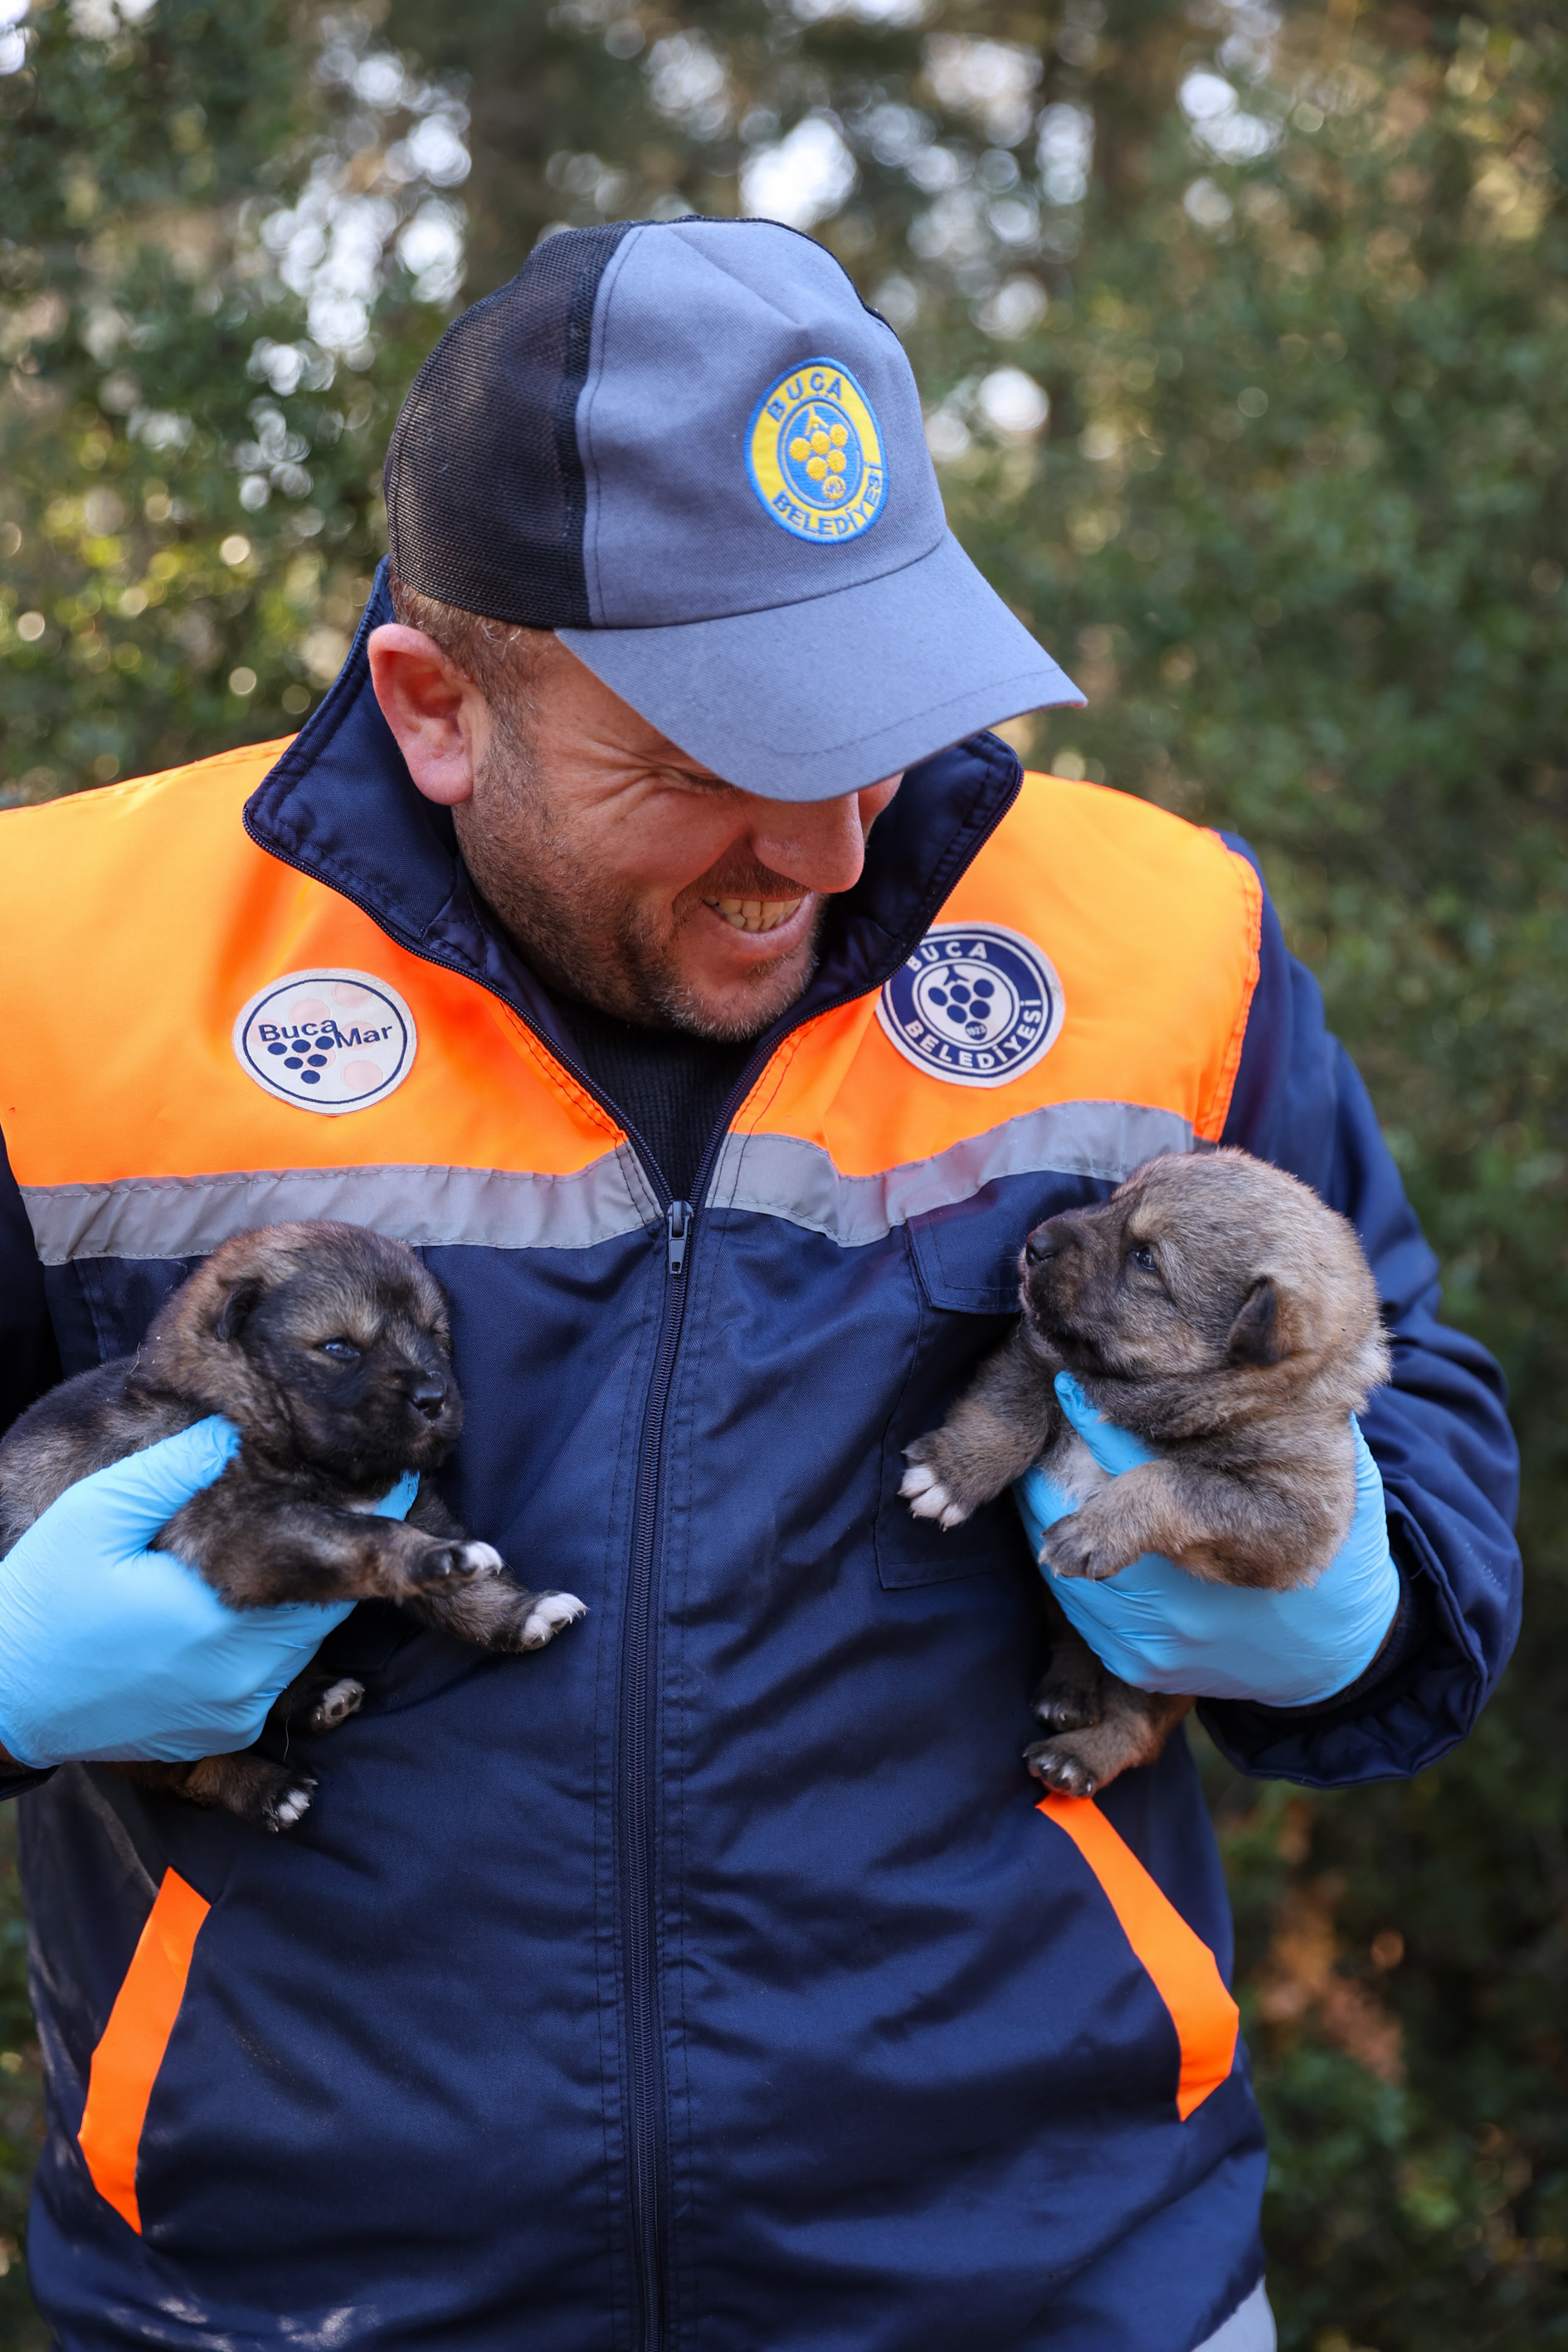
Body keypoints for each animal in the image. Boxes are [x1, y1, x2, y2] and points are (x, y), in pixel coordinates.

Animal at [0, 1223, 585, 1824]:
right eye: (338, 1346)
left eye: (433, 1334)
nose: (433, 1397)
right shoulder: (238, 1526)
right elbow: (369, 1536)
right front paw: (435, 1559)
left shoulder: (414, 1502)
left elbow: (452, 1583)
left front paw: (518, 1612)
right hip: (127, 1721)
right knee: (190, 1770)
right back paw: (266, 1788)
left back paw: (320, 1697)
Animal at [903, 1157, 1391, 1796]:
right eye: (1115, 1200)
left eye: (1145, 1258)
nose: (1036, 1241)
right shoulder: (1038, 1354)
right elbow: (1009, 1413)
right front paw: (954, 1473)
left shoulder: (1289, 1517)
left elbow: (1171, 1479)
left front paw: (1095, 1528)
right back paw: (1068, 1690)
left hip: (1176, 1672)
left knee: (1138, 1726)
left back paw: (1077, 1755)